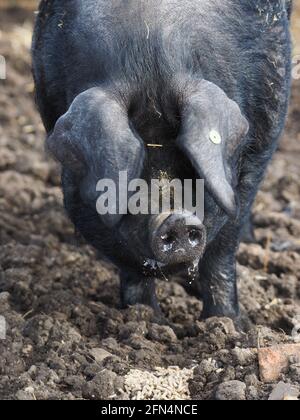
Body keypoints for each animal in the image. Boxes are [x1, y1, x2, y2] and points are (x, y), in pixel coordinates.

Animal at [32, 0, 290, 322]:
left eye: (189, 164)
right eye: (135, 171)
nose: (176, 219)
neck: (148, 60)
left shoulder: (258, 150)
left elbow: (222, 250)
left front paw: (226, 323)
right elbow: (131, 264)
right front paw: (144, 318)